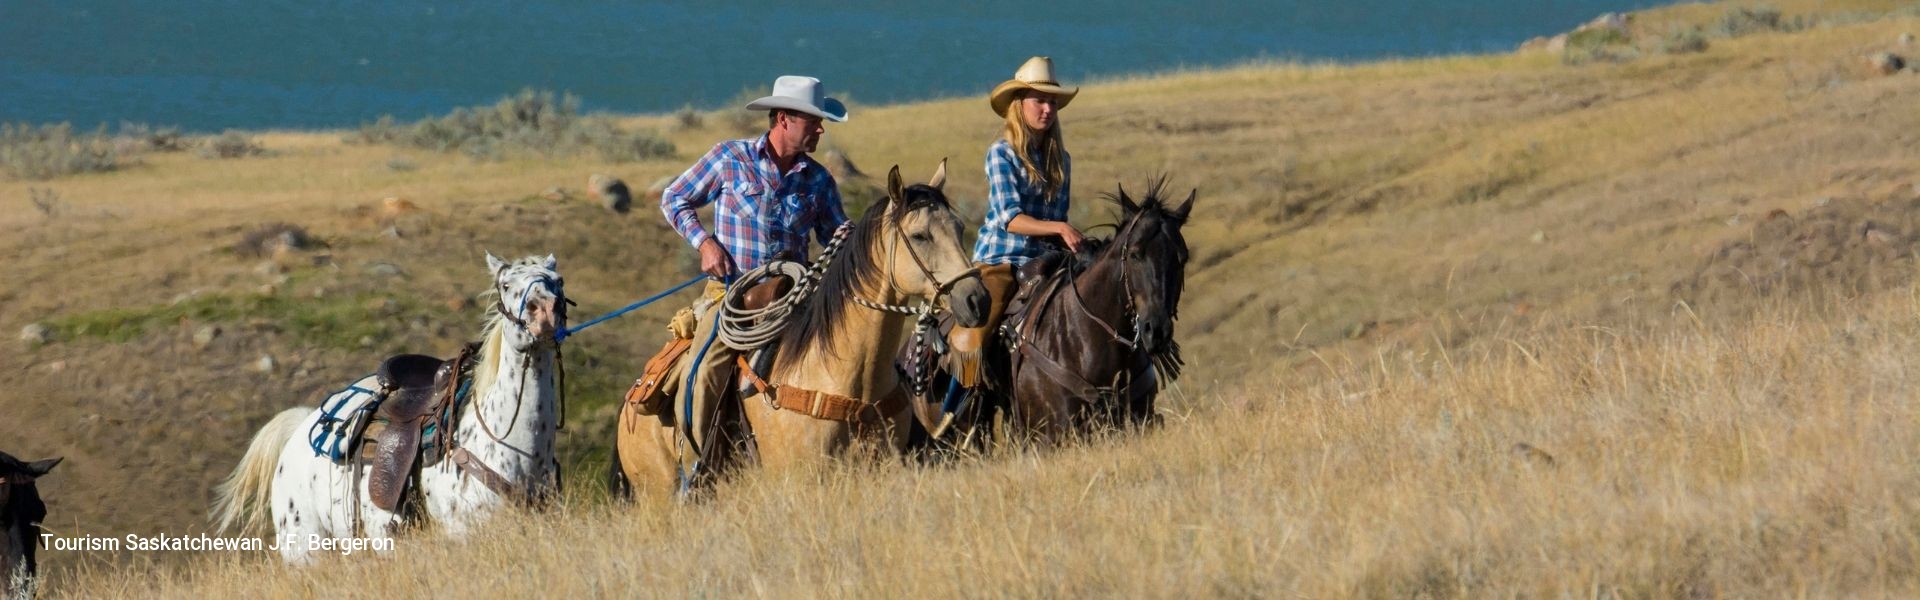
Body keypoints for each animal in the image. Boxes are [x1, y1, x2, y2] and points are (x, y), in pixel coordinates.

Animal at [214, 253, 568, 561]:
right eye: (506, 285)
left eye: (558, 281)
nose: (543, 311)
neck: (512, 448)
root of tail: (300, 430)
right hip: (305, 550)